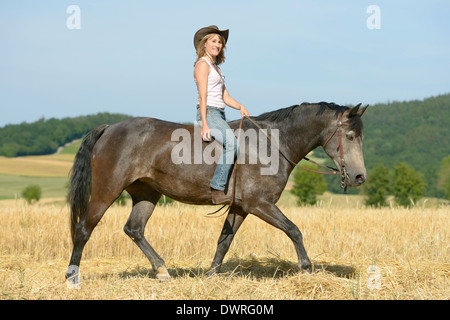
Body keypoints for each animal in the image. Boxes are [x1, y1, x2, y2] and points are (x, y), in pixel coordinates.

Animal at [67, 101, 370, 286]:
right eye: (350, 137)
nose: (359, 177)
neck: (272, 144)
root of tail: (109, 128)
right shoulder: (260, 204)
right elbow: (294, 230)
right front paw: (306, 269)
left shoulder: (240, 207)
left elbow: (224, 242)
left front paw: (211, 275)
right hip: (106, 191)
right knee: (83, 230)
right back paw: (72, 276)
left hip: (147, 194)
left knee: (134, 229)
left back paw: (162, 270)